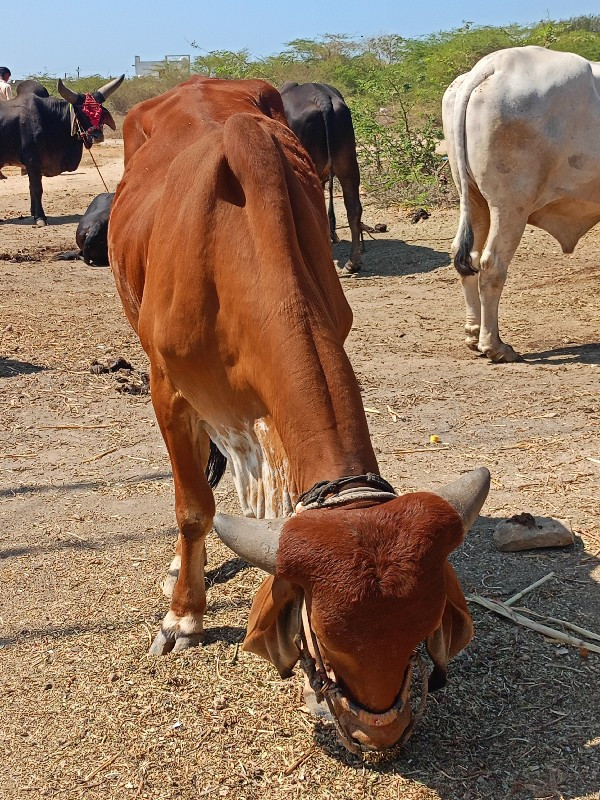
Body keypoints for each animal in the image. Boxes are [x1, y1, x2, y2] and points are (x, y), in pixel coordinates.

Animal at [0, 75, 123, 225]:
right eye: (82, 113)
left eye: (100, 113)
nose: (97, 136)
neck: (50, 117)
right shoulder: (32, 161)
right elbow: (36, 189)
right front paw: (40, 217)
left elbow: (31, 188)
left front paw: (33, 213)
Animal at [442, 45, 600, 364]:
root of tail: (492, 64)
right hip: (509, 205)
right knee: (492, 266)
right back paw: (495, 346)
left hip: (473, 199)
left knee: (468, 259)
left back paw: (473, 335)